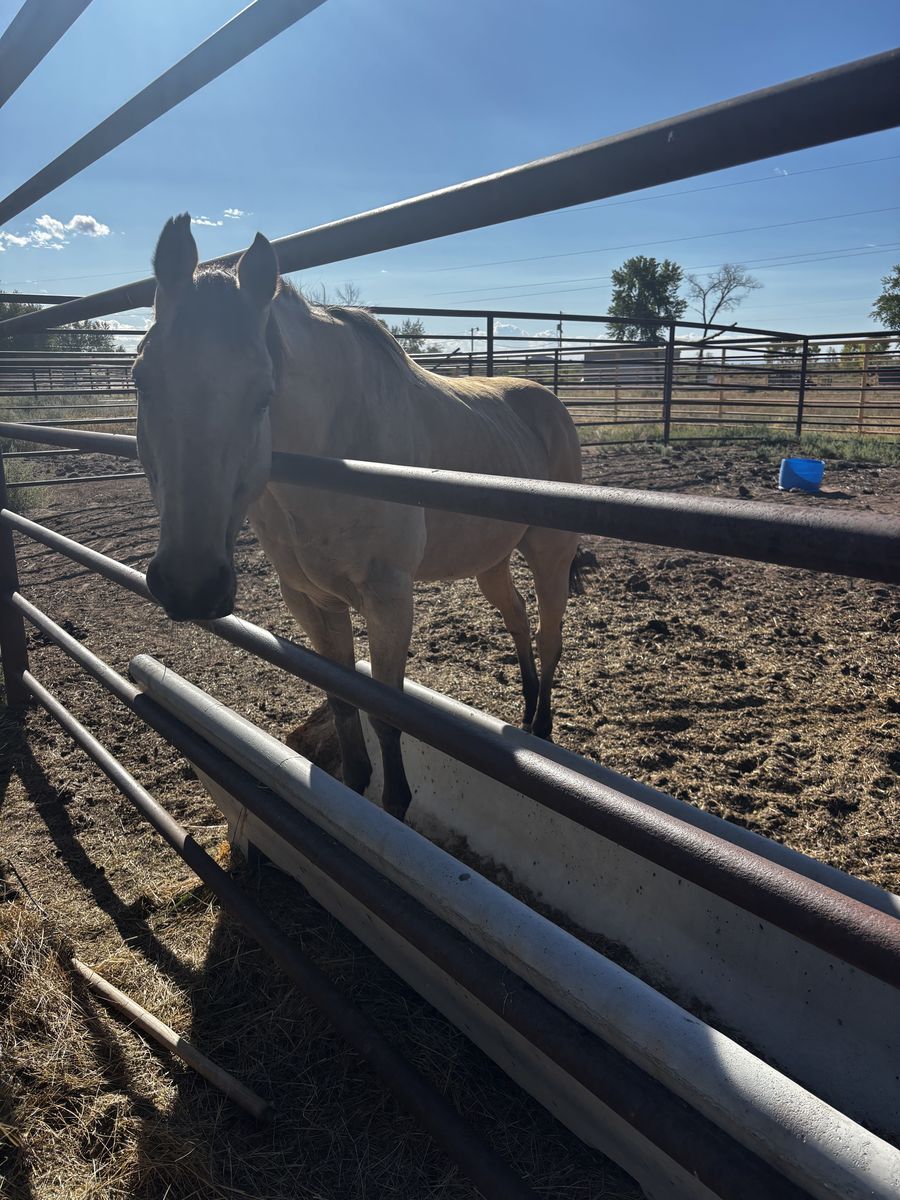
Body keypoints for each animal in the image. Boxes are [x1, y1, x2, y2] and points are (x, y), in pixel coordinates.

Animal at [134, 215, 583, 821]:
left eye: (263, 395)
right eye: (140, 381)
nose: (190, 584)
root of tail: (548, 401)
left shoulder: (388, 600)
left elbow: (385, 716)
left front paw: (394, 804)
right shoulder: (311, 600)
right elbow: (342, 702)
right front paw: (355, 786)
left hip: (550, 553)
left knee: (548, 633)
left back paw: (541, 728)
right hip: (489, 561)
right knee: (516, 618)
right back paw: (528, 709)